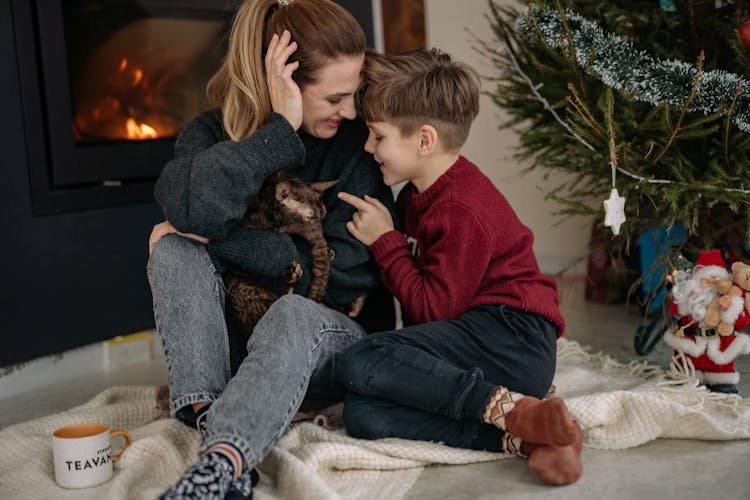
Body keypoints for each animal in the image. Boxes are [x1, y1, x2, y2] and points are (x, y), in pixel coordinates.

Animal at [226, 171, 368, 340]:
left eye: (324, 215)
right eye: (308, 218)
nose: (325, 246)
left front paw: (329, 252)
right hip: (243, 291)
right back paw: (290, 277)